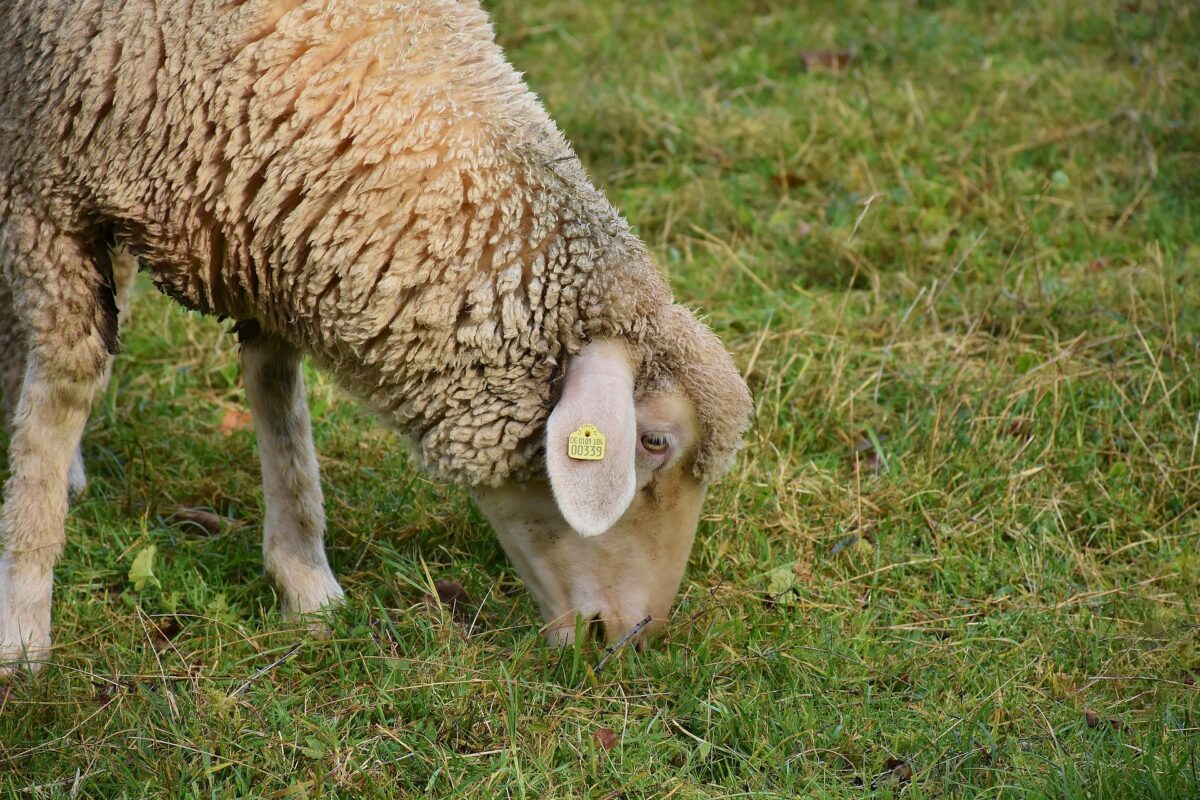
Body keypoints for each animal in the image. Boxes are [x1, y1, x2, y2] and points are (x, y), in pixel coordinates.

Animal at [0, 0, 748, 676]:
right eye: (654, 442)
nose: (629, 637)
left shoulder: (264, 226)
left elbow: (277, 396)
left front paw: (306, 583)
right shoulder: (47, 184)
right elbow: (63, 388)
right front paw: (23, 623)